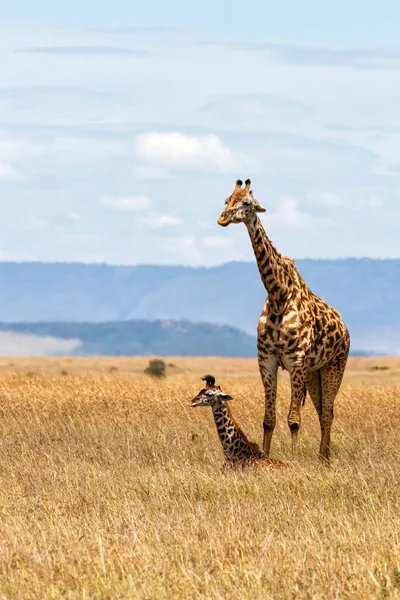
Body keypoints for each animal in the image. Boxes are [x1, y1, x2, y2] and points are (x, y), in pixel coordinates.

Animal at [216, 179, 350, 464]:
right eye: (227, 199)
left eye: (246, 203)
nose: (223, 218)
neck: (279, 294)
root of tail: (345, 329)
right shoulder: (267, 359)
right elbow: (268, 419)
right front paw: (265, 457)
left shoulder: (295, 361)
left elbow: (293, 420)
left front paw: (294, 460)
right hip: (314, 372)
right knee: (323, 411)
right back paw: (322, 457)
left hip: (335, 365)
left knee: (328, 412)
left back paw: (324, 460)